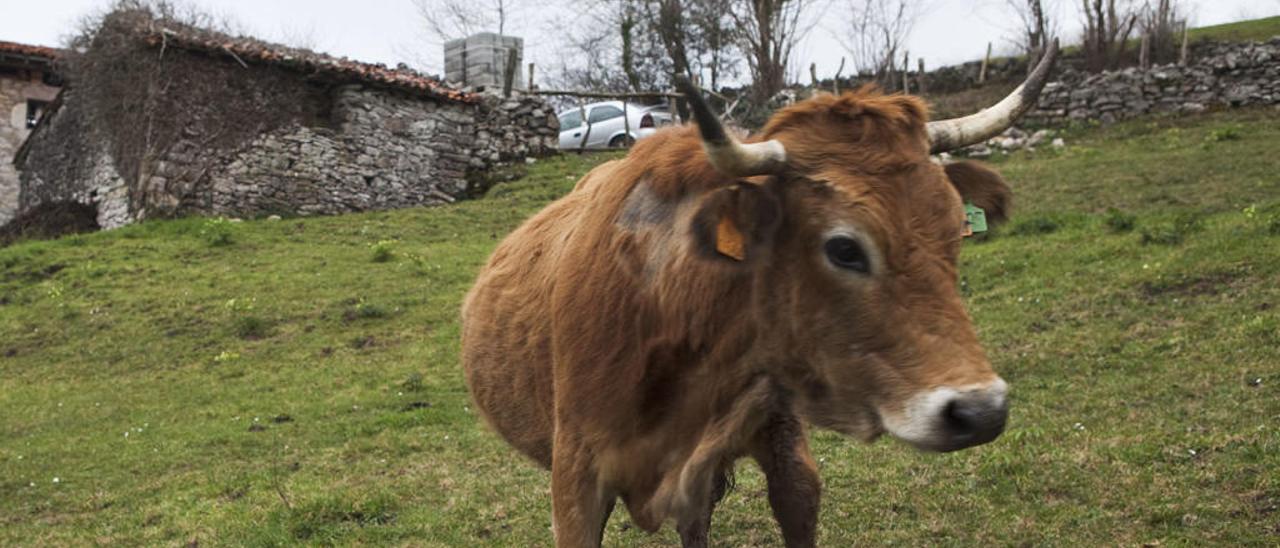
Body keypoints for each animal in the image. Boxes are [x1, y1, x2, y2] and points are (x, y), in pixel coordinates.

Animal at [460, 41, 1059, 542]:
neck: (675, 310)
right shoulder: (576, 482)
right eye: (844, 248)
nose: (980, 411)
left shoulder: (780, 445)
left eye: (955, 228)